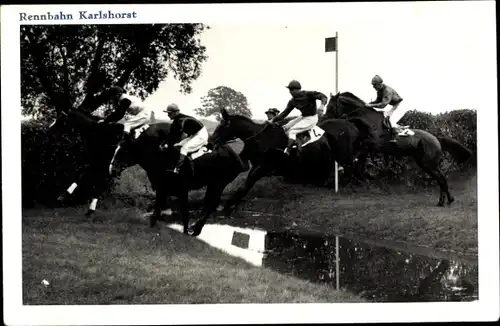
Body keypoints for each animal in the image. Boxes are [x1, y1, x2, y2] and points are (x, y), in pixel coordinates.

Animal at [111, 131, 248, 236]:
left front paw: (185, 231)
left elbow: (183, 211)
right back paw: (196, 228)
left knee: (210, 205)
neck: (162, 158)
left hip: (217, 185)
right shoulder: (162, 189)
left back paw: (196, 229)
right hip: (213, 186)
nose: (112, 169)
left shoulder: (182, 190)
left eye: (125, 150)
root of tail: (238, 159)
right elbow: (158, 209)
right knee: (208, 205)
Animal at [209, 107, 366, 218]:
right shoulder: (246, 161)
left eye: (222, 126)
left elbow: (245, 185)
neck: (259, 139)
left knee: (350, 168)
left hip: (344, 156)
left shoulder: (263, 166)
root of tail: (351, 125)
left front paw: (228, 207)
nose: (210, 142)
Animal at [324, 91, 472, 206]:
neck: (367, 118)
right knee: (441, 179)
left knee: (441, 179)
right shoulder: (365, 144)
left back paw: (446, 200)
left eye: (330, 106)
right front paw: (359, 172)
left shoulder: (373, 143)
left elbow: (360, 153)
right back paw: (446, 200)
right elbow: (358, 154)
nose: (324, 119)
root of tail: (436, 139)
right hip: (425, 163)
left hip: (428, 163)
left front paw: (364, 174)